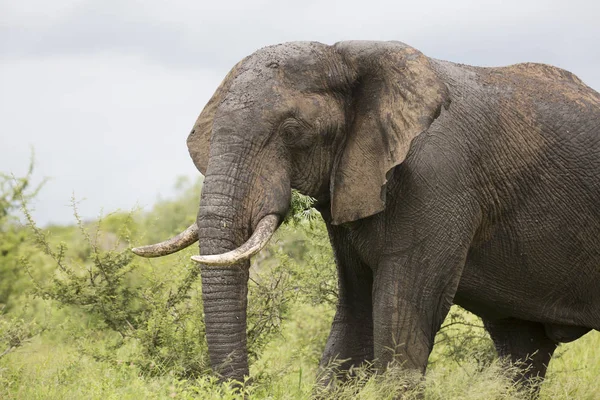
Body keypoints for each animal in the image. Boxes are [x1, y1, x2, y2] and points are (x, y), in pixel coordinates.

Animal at [132, 41, 600, 390]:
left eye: (292, 131)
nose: (244, 386)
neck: (348, 57)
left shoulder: (439, 181)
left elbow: (402, 326)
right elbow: (354, 323)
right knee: (522, 352)